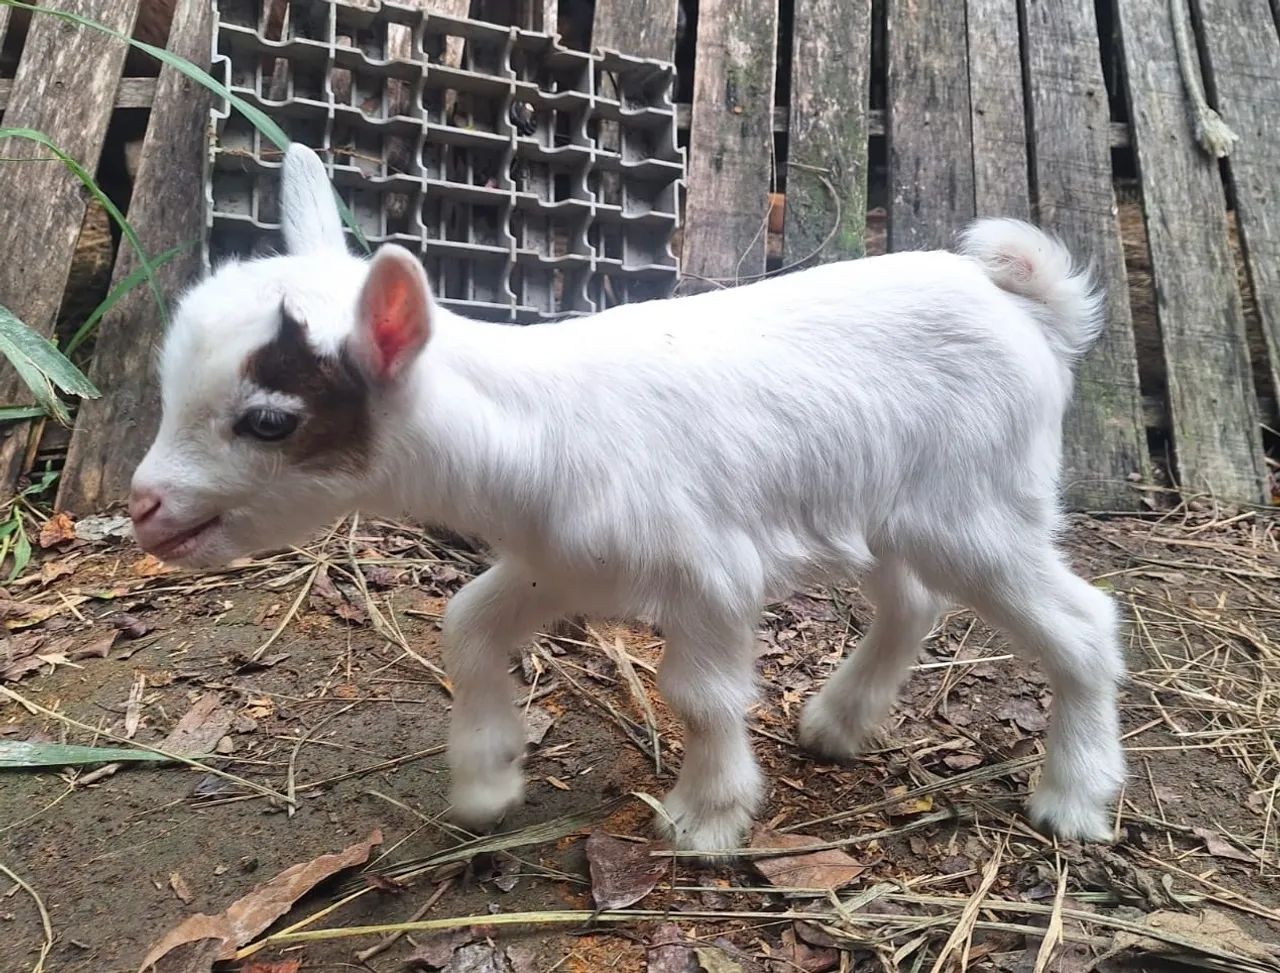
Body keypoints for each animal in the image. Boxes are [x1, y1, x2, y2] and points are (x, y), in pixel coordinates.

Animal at [131, 143, 1125, 854]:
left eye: (268, 419)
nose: (145, 507)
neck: (531, 431)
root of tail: (1028, 308)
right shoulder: (561, 563)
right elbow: (466, 625)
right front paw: (487, 781)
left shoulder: (710, 574)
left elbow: (701, 695)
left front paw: (706, 817)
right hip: (891, 506)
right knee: (911, 601)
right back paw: (838, 724)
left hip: (977, 506)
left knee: (1081, 623)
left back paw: (1074, 796)